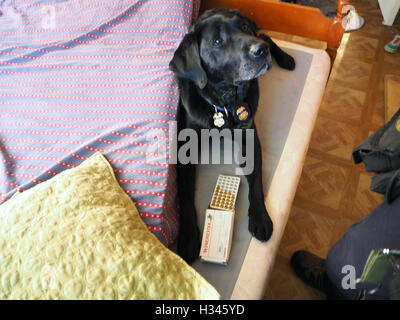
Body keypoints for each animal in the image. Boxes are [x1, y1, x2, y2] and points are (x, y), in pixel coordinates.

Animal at [167, 8, 296, 262]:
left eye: (243, 27)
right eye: (217, 41)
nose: (259, 51)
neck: (224, 102)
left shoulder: (250, 139)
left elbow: (256, 182)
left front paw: (260, 217)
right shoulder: (184, 149)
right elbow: (185, 195)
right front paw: (188, 237)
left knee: (265, 35)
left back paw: (284, 57)